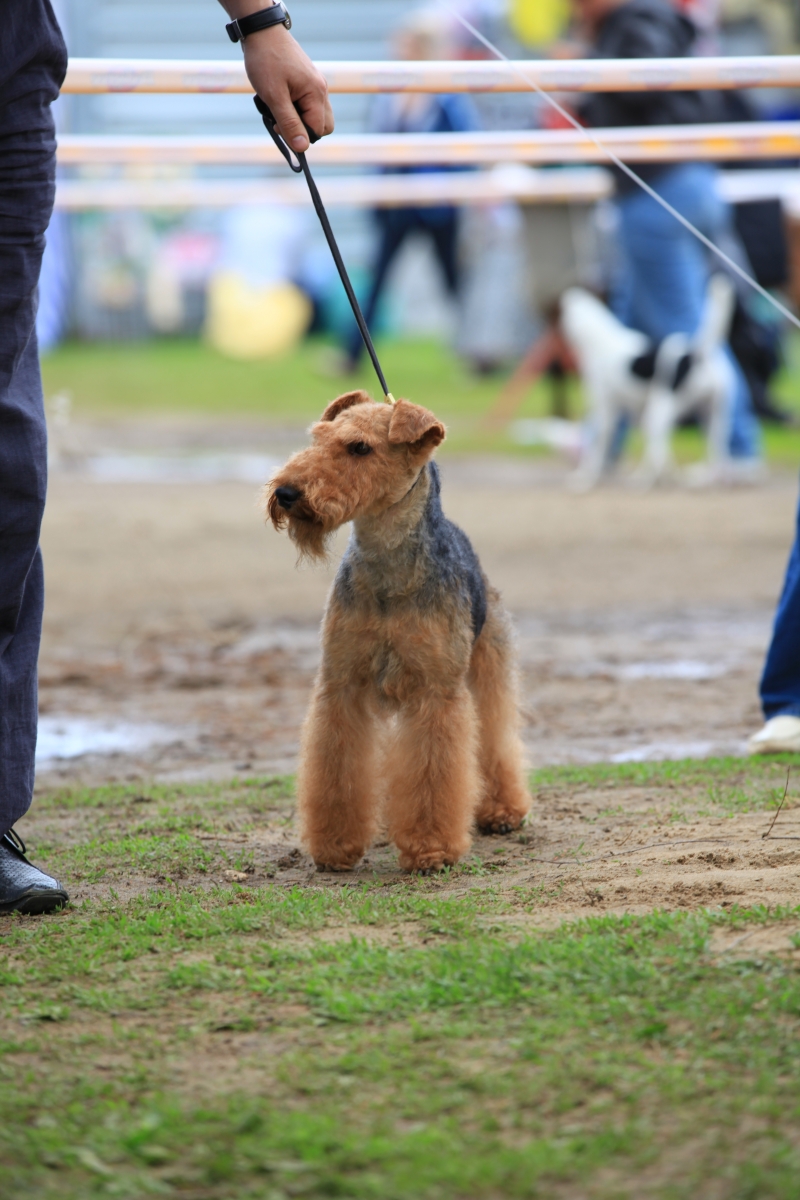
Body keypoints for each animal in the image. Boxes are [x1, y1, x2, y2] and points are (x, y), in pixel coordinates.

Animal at [563, 274, 738, 487]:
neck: (598, 337)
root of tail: (696, 354)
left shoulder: (606, 410)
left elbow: (596, 451)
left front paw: (585, 478)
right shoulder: (632, 412)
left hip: (658, 415)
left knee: (658, 454)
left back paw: (643, 480)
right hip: (713, 418)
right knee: (717, 456)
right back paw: (703, 478)